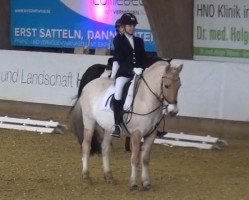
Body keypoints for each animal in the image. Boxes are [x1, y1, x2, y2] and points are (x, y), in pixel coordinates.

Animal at [71, 60, 182, 191]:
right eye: (167, 86)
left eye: (179, 85)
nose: (173, 111)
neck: (145, 99)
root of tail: (88, 85)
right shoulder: (136, 134)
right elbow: (134, 159)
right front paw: (133, 184)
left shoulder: (151, 135)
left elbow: (145, 159)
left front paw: (146, 183)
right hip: (89, 122)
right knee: (86, 146)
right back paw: (86, 177)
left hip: (110, 128)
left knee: (105, 148)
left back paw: (109, 177)